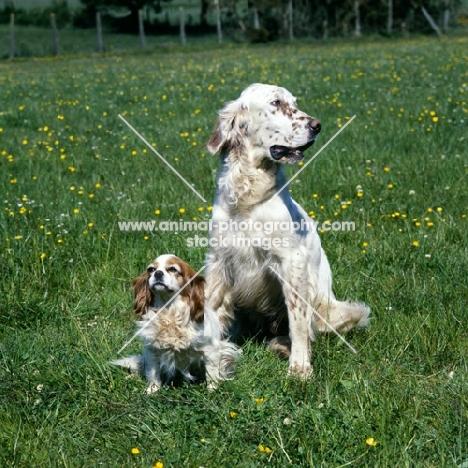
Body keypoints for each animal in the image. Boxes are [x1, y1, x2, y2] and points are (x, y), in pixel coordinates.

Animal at [111, 254, 239, 394]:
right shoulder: (152, 351)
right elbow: (152, 372)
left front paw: (212, 390)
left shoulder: (210, 349)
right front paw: (152, 390)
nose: (158, 273)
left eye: (172, 269)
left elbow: (211, 371)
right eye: (151, 269)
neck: (169, 311)